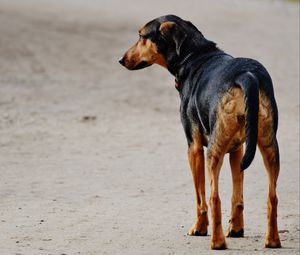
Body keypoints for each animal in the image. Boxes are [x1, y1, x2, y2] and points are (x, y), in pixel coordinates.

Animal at [118, 14, 280, 249]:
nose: (121, 60)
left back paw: (217, 242)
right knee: (272, 196)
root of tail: (246, 76)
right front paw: (237, 229)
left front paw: (199, 228)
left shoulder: (193, 148)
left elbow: (200, 197)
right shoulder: (237, 150)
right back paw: (272, 241)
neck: (193, 56)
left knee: (213, 198)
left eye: (142, 36)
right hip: (269, 146)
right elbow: (237, 196)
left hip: (214, 151)